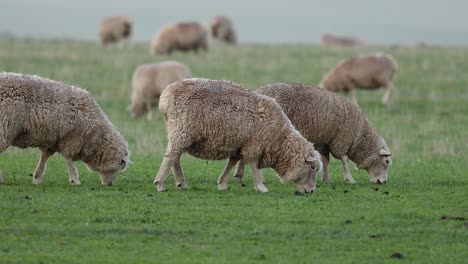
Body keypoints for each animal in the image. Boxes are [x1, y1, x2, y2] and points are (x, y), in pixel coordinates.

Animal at [0, 72, 130, 186]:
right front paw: (74, 180)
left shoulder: (52, 140)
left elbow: (44, 157)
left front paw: (37, 177)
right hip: (4, 128)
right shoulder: (73, 138)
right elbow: (69, 158)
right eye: (118, 168)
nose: (110, 184)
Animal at [154, 79, 322, 194]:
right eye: (312, 168)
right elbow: (253, 165)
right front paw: (261, 187)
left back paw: (181, 183)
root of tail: (166, 95)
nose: (311, 191)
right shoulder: (254, 144)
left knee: (175, 156)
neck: (279, 139)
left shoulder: (240, 144)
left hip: (177, 131)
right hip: (182, 130)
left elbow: (232, 162)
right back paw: (160, 184)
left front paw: (222, 183)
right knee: (171, 156)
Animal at [234, 83, 392, 186]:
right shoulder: (341, 140)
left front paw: (326, 178)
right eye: (387, 162)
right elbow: (344, 159)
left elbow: (326, 160)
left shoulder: (325, 142)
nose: (383, 182)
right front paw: (350, 179)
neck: (359, 138)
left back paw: (239, 175)